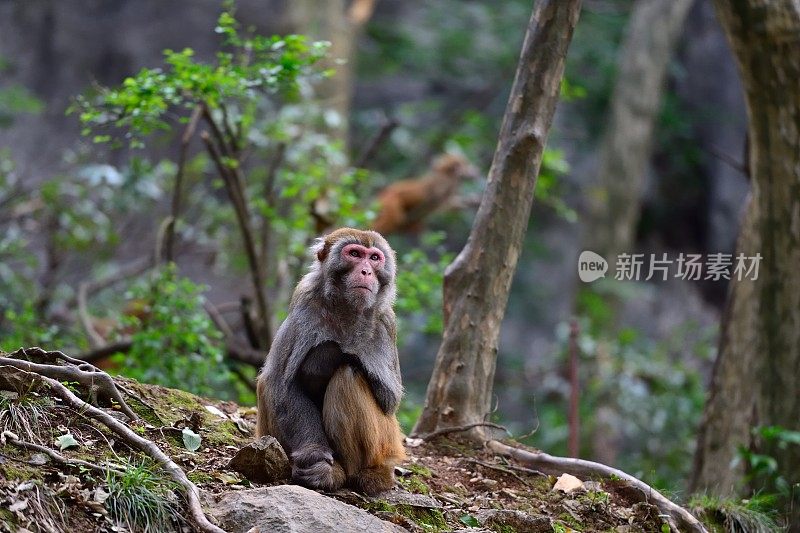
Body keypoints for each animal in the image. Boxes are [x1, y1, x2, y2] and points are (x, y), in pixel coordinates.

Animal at [256, 227, 406, 492]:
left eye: (374, 258)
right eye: (355, 254)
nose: (366, 271)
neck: (346, 308)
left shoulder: (386, 322)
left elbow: (391, 398)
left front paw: (326, 357)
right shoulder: (304, 303)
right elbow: (280, 385)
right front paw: (313, 452)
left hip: (386, 444)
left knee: (349, 373)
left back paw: (358, 475)